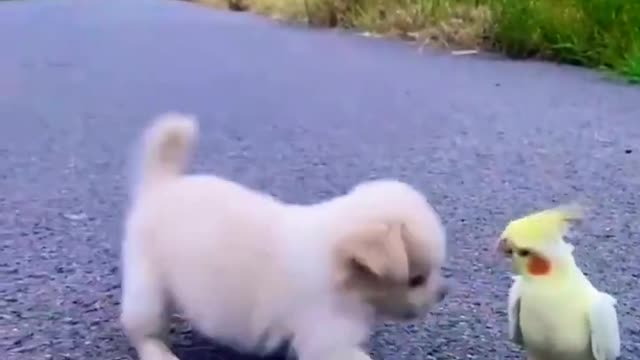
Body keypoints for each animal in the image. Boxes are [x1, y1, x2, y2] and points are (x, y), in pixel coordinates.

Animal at [121, 113, 450, 360]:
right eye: (416, 280)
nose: (443, 292)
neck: (337, 264)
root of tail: (162, 185)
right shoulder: (327, 339)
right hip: (148, 288)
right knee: (142, 331)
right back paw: (159, 353)